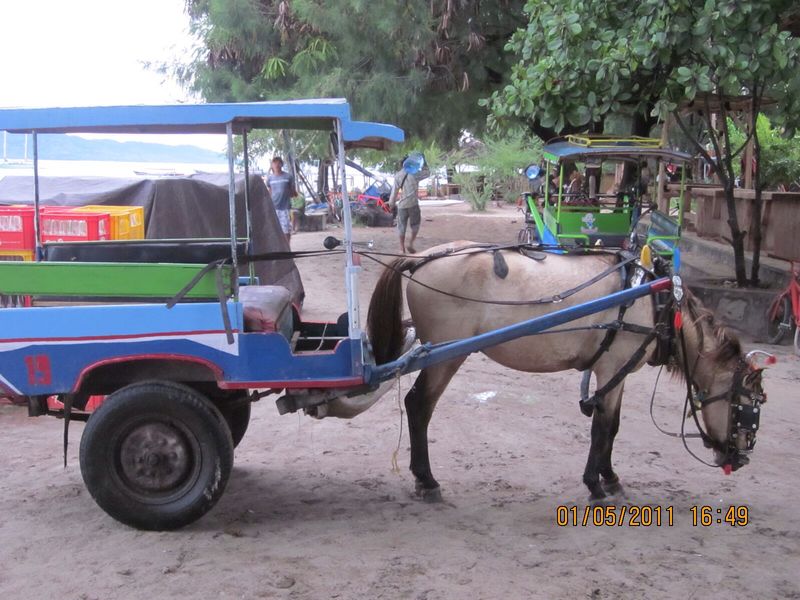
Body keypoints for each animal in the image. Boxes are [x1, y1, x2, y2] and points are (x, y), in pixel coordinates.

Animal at [366, 241, 764, 504]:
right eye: (748, 408)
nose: (741, 458)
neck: (657, 300)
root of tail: (421, 258)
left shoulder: (616, 371)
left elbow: (612, 427)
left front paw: (610, 477)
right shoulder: (612, 367)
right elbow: (602, 427)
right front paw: (596, 485)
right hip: (444, 357)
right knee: (418, 406)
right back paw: (427, 480)